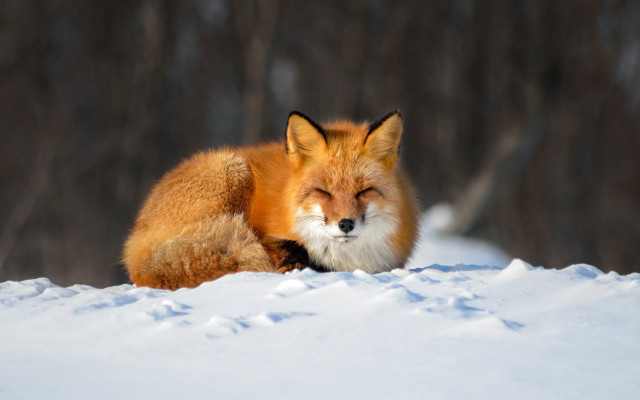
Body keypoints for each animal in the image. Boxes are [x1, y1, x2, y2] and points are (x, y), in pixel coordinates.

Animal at [122, 110, 419, 289]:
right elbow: (282, 247)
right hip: (233, 171)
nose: (345, 224)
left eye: (363, 191)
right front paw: (293, 263)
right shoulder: (267, 233)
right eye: (323, 192)